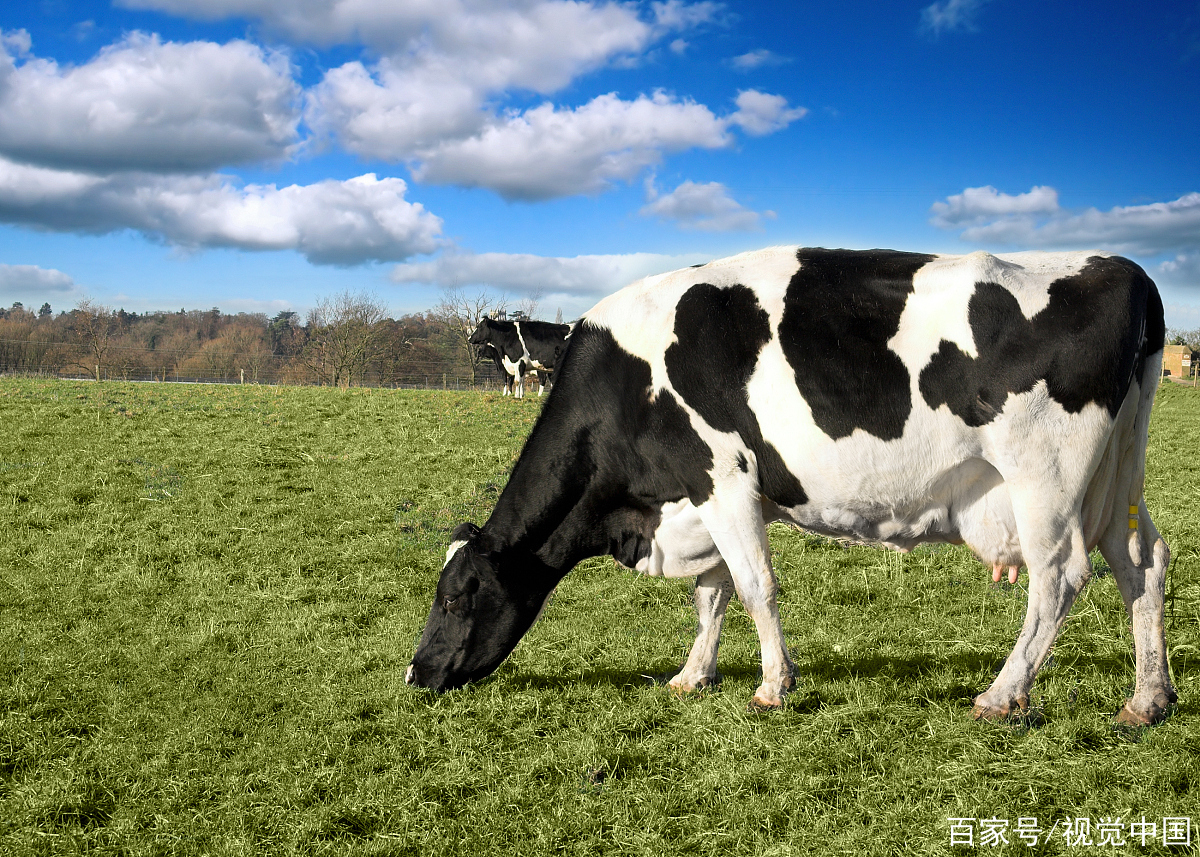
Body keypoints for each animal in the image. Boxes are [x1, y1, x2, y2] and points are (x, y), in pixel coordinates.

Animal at [408, 243, 1176, 724]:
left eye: (454, 597)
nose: (416, 674)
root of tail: (1126, 270)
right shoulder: (705, 498)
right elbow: (711, 593)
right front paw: (692, 676)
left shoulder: (720, 478)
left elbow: (754, 587)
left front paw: (774, 685)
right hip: (1117, 476)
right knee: (1141, 562)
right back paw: (1148, 699)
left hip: (1044, 477)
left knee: (1059, 577)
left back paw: (1001, 694)